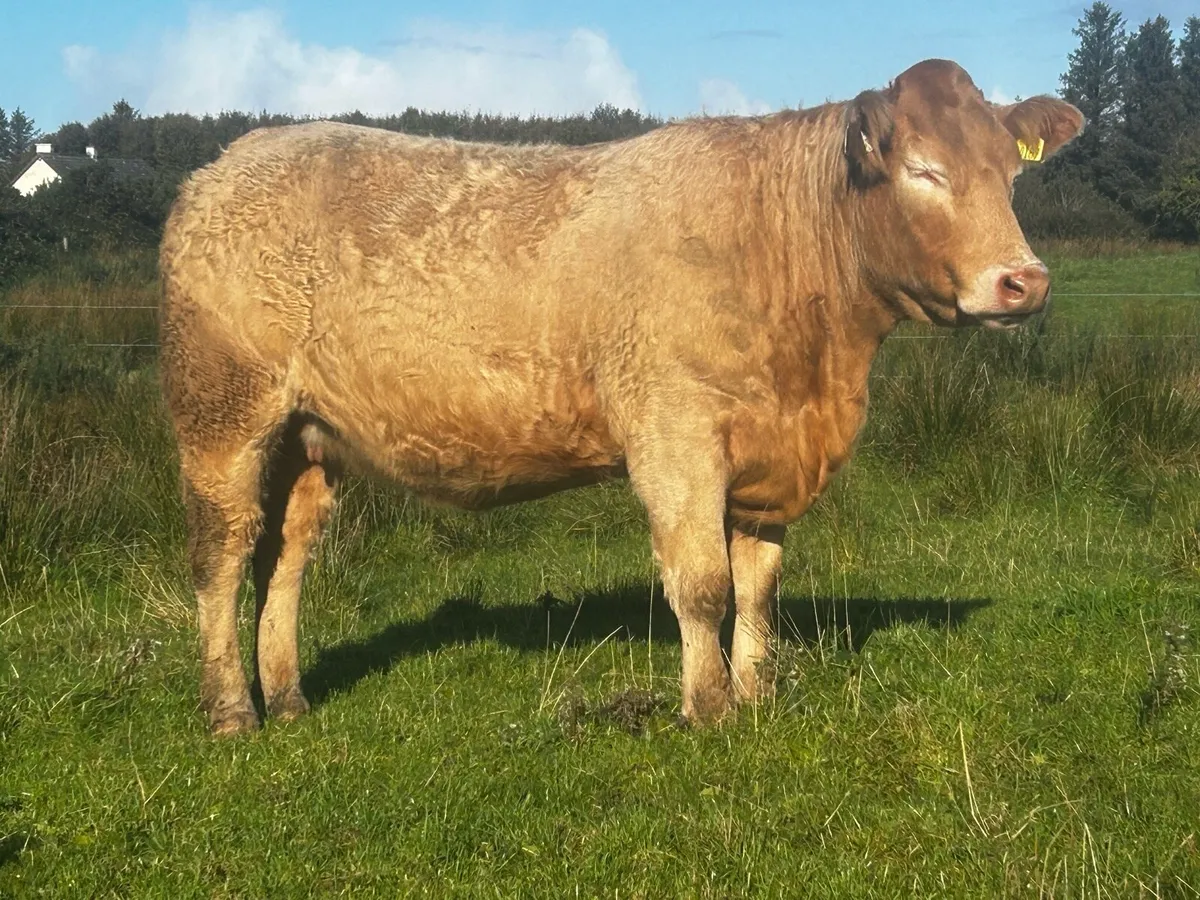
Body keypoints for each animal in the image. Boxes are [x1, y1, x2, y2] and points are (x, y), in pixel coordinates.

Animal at [158, 58, 1083, 736]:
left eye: (1010, 173)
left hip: (309, 438)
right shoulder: (675, 434)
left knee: (284, 559)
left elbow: (758, 584)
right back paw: (232, 711)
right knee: (220, 555)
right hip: (223, 416)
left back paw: (287, 697)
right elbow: (703, 583)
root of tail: (224, 165)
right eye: (924, 170)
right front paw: (706, 710)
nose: (1024, 281)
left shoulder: (767, 452)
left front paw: (757, 696)